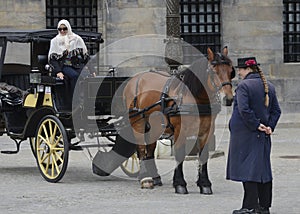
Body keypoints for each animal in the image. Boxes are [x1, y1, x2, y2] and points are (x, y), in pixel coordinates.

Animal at [120, 47, 233, 194]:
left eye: (231, 70)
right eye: (214, 71)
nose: (228, 98)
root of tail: (134, 79)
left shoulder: (207, 131)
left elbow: (203, 156)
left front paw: (204, 184)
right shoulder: (181, 130)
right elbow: (179, 154)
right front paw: (180, 184)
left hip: (154, 126)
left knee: (150, 148)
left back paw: (155, 177)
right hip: (138, 121)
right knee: (141, 148)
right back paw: (145, 179)